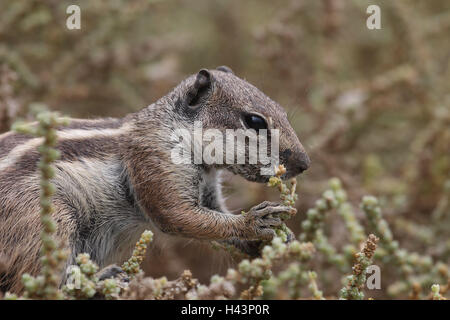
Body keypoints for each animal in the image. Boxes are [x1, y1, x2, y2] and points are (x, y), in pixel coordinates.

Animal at [0, 65, 310, 292]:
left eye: (283, 111)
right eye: (255, 122)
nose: (305, 163)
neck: (171, 130)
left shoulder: (208, 189)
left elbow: (216, 217)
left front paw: (274, 239)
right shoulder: (154, 163)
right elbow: (179, 215)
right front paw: (254, 222)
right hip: (46, 223)